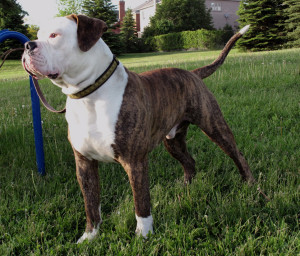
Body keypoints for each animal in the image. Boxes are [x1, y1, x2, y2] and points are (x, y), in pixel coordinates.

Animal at [22, 15, 254, 243]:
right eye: (39, 35)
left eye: (55, 35)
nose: (27, 45)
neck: (90, 95)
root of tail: (193, 73)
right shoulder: (84, 164)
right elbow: (91, 205)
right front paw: (89, 236)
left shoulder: (135, 162)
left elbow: (141, 203)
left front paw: (143, 236)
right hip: (173, 141)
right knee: (189, 162)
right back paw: (186, 187)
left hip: (214, 126)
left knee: (238, 155)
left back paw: (250, 186)